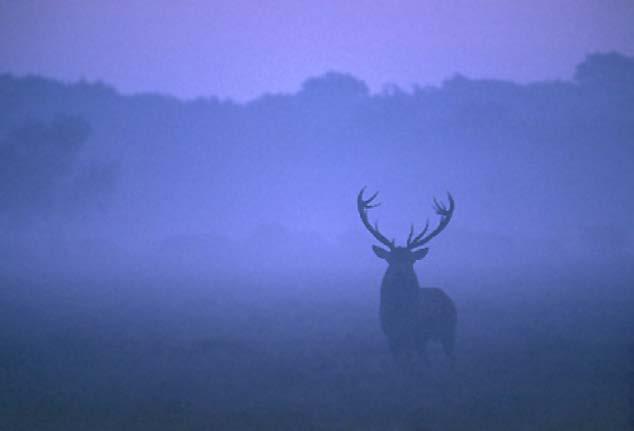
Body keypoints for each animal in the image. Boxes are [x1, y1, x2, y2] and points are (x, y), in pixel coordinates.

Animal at [356, 187, 454, 366]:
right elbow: (401, 366)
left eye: (411, 260)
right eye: (390, 259)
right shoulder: (391, 337)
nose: (399, 273)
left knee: (449, 358)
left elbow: (419, 365)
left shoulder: (418, 336)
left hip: (450, 330)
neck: (401, 315)